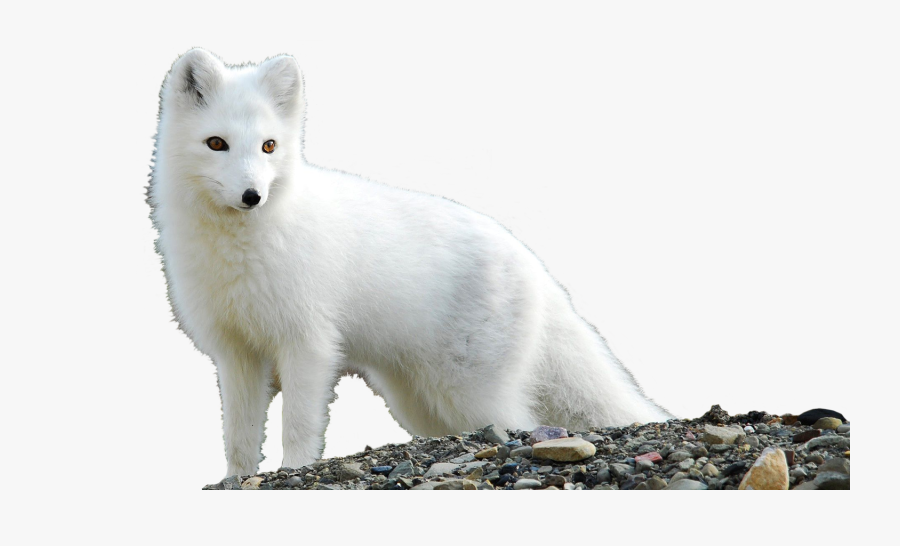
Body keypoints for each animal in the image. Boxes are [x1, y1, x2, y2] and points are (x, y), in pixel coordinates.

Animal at [148, 48, 672, 478]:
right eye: (216, 143)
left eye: (269, 146)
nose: (252, 195)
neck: (237, 249)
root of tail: (533, 263)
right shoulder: (235, 352)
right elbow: (238, 435)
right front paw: (235, 479)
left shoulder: (308, 343)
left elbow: (297, 424)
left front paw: (293, 470)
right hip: (417, 398)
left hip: (469, 392)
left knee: (520, 424)